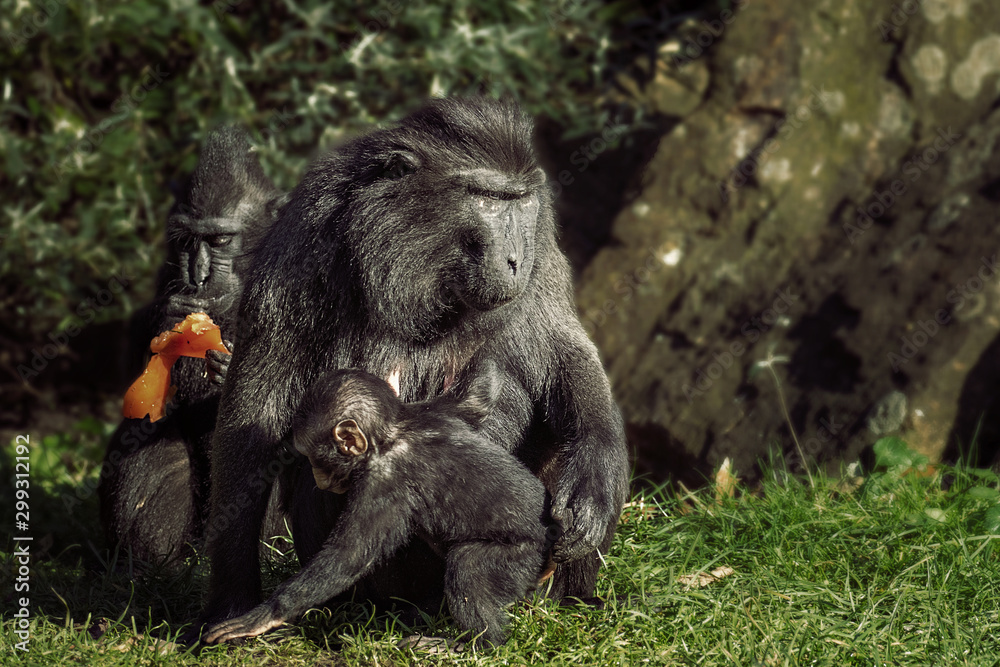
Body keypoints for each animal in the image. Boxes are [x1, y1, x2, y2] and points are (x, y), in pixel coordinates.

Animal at [202, 365, 557, 648]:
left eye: (315, 457)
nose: (316, 475)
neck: (390, 436)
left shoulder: (382, 486)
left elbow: (348, 557)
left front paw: (262, 616)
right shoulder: (432, 410)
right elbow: (477, 393)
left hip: (522, 555)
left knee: (468, 568)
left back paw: (476, 644)